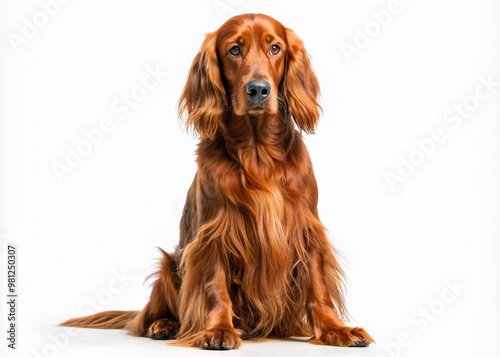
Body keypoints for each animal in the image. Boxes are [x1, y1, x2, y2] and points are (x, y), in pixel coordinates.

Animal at [60, 13, 374, 348]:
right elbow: (215, 286)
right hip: (170, 264)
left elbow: (318, 286)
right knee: (146, 318)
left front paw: (336, 329)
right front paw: (219, 329)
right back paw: (164, 324)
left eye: (275, 48)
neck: (257, 152)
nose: (258, 90)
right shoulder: (214, 233)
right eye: (234, 50)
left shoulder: (306, 227)